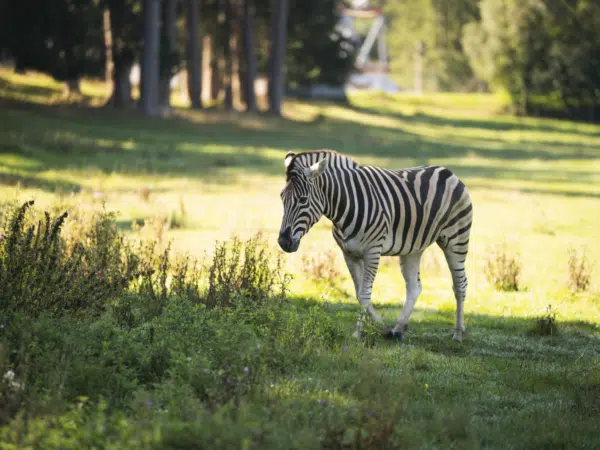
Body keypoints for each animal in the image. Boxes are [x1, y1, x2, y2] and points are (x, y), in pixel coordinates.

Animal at [278, 149, 474, 342]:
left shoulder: (372, 251)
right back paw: (398, 328)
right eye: (282, 198)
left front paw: (357, 334)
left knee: (460, 284)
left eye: (303, 200)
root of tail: (447, 171)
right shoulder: (348, 253)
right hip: (413, 248)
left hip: (456, 238)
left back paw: (458, 333)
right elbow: (359, 294)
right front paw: (384, 328)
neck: (346, 206)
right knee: (414, 287)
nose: (283, 242)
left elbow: (365, 294)